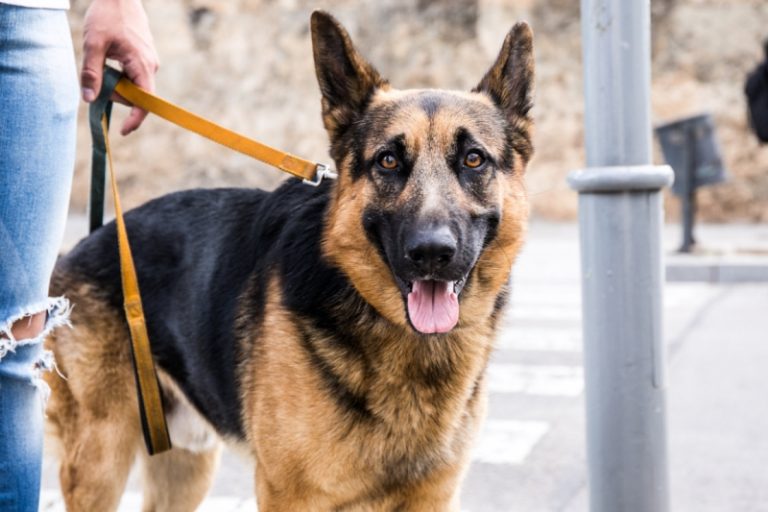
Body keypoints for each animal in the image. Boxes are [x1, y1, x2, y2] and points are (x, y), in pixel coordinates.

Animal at [45, 10, 534, 511]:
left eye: (473, 159)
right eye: (388, 161)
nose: (432, 253)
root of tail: (85, 243)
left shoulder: (432, 498)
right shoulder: (290, 496)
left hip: (187, 467)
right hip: (101, 462)